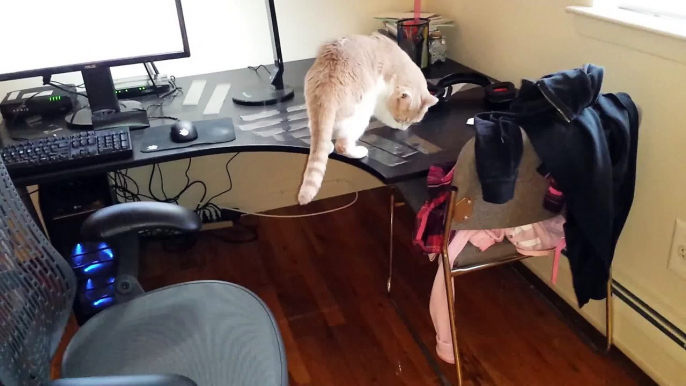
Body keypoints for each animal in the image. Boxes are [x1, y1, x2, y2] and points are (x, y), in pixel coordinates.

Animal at [296, 34, 438, 205]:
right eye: (400, 119)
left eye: (412, 122)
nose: (404, 128)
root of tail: (327, 85)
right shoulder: (380, 100)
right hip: (363, 113)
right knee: (342, 145)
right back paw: (358, 152)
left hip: (316, 116)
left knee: (320, 137)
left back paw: (327, 145)